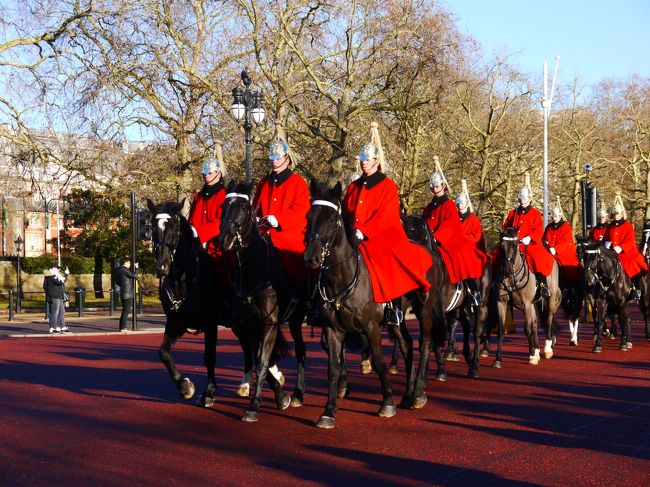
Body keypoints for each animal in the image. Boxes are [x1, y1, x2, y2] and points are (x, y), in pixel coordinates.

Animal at [149, 199, 224, 408]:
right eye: (151, 228)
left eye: (175, 228)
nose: (162, 267)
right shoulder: (176, 323)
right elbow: (163, 353)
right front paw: (184, 386)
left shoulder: (210, 323)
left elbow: (209, 357)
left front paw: (209, 392)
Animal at [215, 183, 306, 424]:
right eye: (223, 207)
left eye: (245, 207)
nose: (224, 239)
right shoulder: (249, 323)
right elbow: (258, 358)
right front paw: (279, 395)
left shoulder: (269, 322)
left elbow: (263, 360)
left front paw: (255, 406)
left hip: (297, 319)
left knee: (302, 351)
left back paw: (300, 393)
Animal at [400, 215, 492, 380]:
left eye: (416, 234)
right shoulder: (423, 310)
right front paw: (427, 371)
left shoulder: (437, 310)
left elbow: (435, 338)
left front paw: (440, 370)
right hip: (460, 307)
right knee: (467, 326)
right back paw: (466, 356)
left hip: (481, 305)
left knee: (477, 331)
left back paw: (474, 366)